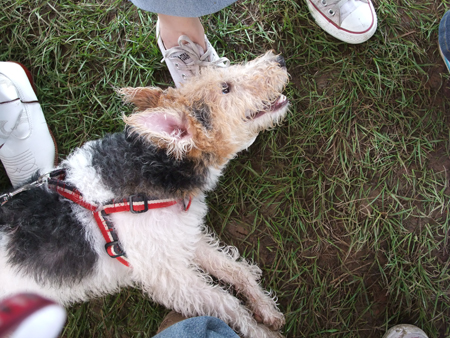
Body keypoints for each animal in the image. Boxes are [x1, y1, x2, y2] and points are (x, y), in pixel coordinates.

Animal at [0, 50, 288, 338]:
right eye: (226, 88)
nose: (279, 60)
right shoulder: (169, 279)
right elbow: (227, 302)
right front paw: (260, 332)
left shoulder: (180, 239)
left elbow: (236, 270)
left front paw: (266, 309)